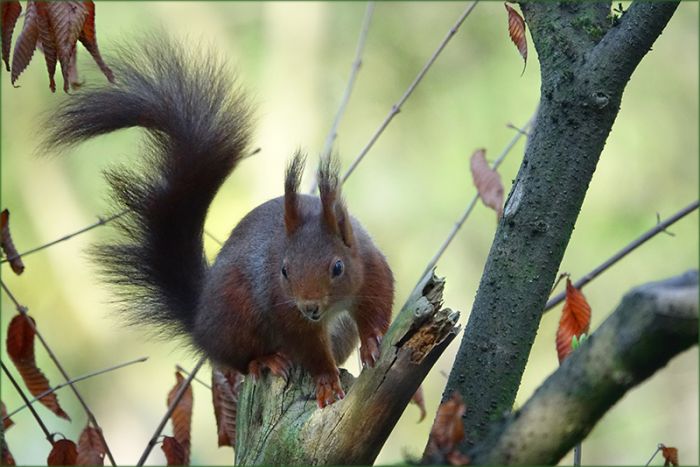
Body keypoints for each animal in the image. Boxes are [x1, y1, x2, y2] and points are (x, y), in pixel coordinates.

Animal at [44, 39, 394, 408]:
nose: (309, 307)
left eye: (338, 267)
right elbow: (308, 349)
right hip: (234, 315)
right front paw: (325, 380)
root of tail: (199, 319)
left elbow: (378, 304)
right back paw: (266, 360)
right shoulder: (284, 308)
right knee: (238, 359)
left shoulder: (371, 265)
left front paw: (373, 342)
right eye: (283, 271)